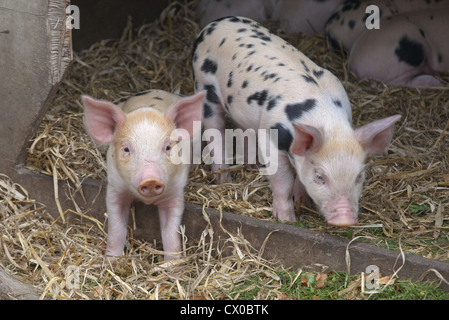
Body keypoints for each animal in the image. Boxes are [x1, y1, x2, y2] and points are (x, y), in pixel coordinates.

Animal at [82, 89, 205, 260]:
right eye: (126, 149)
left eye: (168, 147)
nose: (150, 180)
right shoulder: (115, 188)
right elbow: (116, 229)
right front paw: (111, 260)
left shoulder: (175, 192)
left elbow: (170, 233)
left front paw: (172, 264)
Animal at [192, 16, 400, 226]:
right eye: (320, 176)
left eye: (359, 176)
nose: (344, 220)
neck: (327, 121)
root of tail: (216, 23)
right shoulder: (271, 138)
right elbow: (283, 181)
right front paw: (287, 220)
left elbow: (299, 178)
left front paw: (302, 202)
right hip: (205, 88)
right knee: (215, 132)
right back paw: (224, 180)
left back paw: (253, 166)